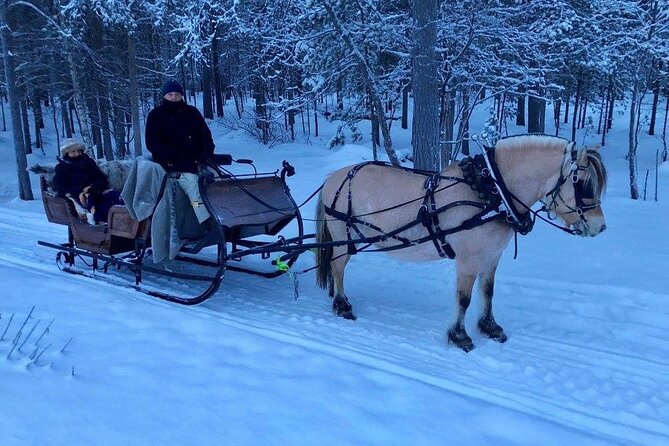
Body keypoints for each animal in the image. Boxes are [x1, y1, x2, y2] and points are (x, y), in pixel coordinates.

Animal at [315, 134, 608, 352]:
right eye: (583, 185)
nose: (600, 227)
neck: (491, 192)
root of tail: (334, 176)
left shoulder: (492, 255)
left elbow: (488, 291)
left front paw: (490, 327)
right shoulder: (469, 259)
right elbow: (464, 298)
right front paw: (459, 336)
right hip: (342, 237)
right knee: (338, 268)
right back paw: (343, 306)